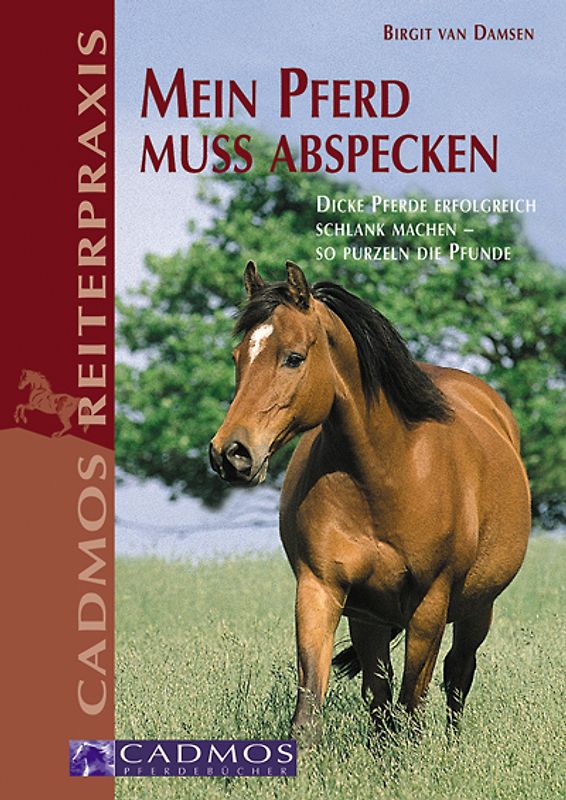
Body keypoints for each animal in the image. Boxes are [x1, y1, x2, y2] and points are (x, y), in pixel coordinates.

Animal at [210, 261, 531, 743]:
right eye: (237, 358)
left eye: (293, 357)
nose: (230, 453)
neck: (384, 473)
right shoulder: (322, 590)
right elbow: (317, 710)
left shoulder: (429, 602)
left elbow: (413, 704)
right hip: (370, 619)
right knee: (380, 692)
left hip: (477, 606)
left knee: (458, 672)